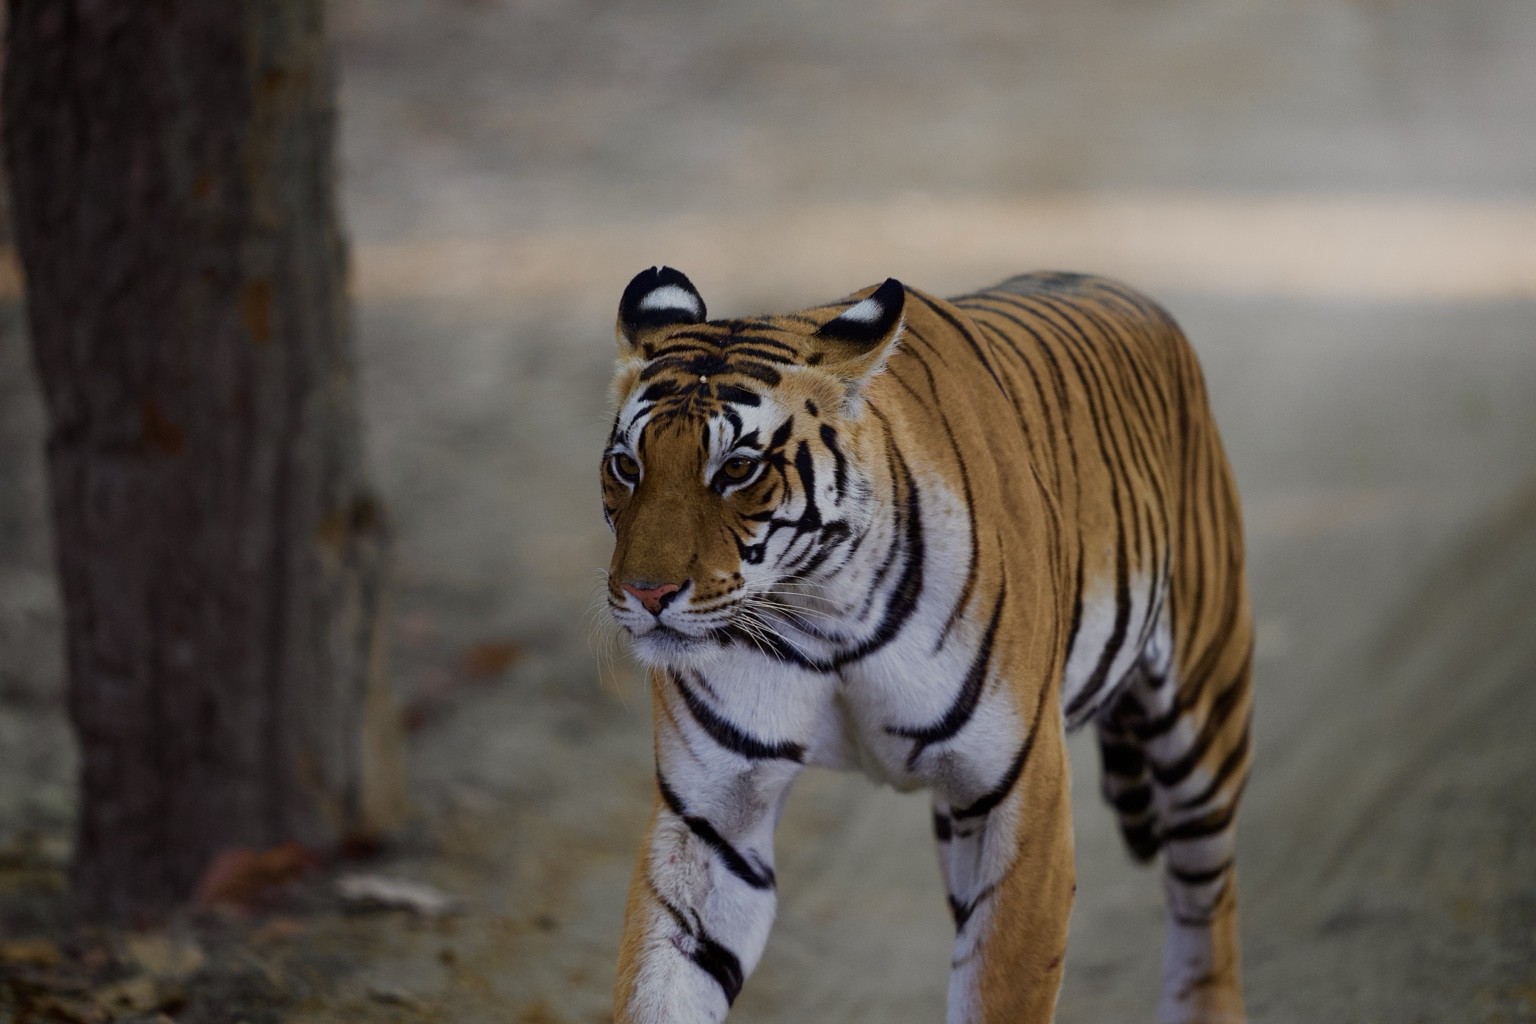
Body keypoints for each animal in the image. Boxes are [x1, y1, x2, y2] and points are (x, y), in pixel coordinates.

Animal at [600, 264, 1253, 1024]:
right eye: (626, 465)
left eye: (736, 469)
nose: (645, 593)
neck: (824, 610)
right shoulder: (713, 815)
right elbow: (661, 984)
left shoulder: (1021, 797)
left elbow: (1002, 987)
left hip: (1203, 724)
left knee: (1207, 908)